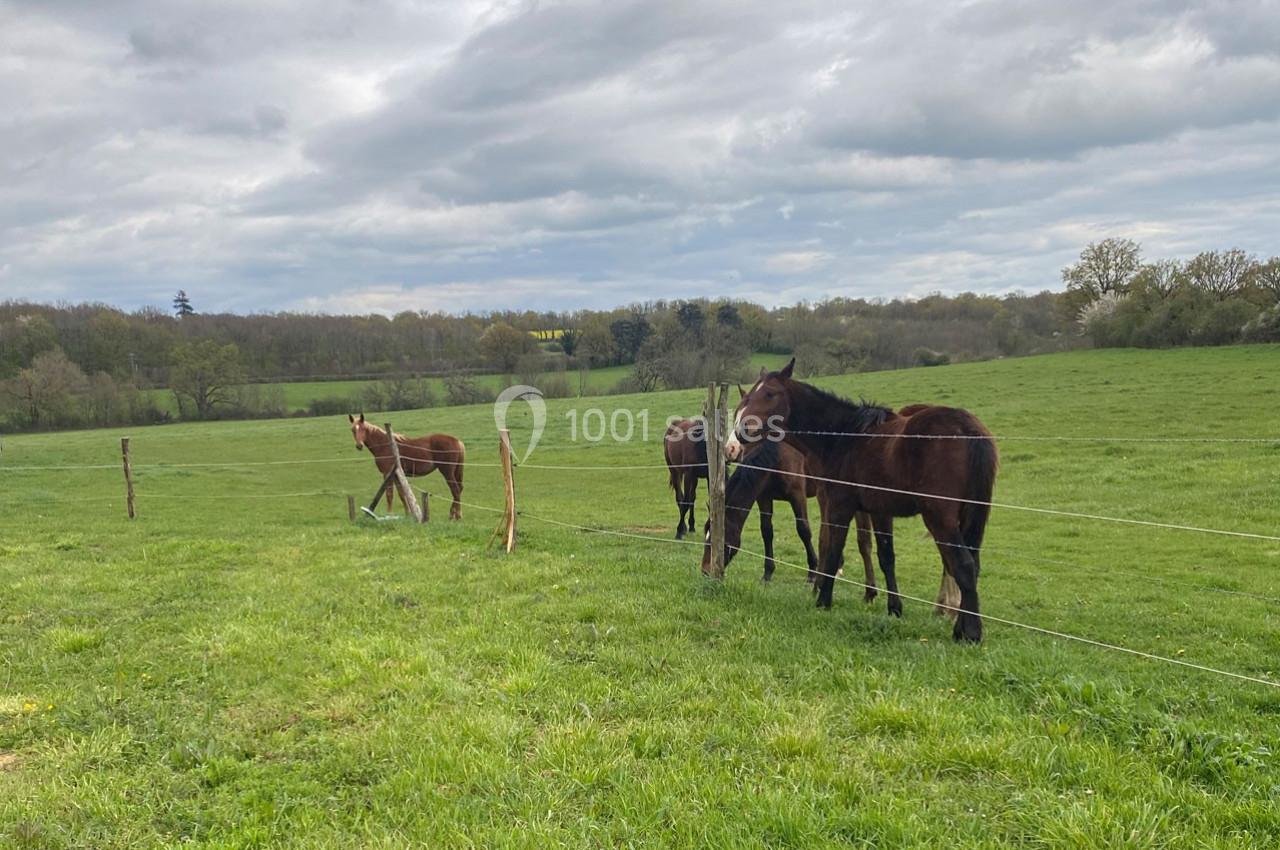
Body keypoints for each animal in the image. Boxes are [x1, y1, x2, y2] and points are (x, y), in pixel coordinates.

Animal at [700, 436, 877, 586]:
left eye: (723, 542)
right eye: (706, 539)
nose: (706, 571)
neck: (778, 458)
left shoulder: (797, 496)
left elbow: (803, 530)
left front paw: (812, 572)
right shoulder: (764, 497)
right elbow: (766, 531)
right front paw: (767, 573)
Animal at [725, 359, 997, 643]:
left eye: (770, 394)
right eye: (747, 397)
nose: (741, 432)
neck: (842, 437)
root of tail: (967, 429)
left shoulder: (837, 505)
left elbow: (832, 548)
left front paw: (823, 599)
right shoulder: (879, 510)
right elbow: (886, 556)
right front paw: (894, 608)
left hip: (939, 517)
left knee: (962, 564)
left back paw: (969, 630)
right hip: (968, 515)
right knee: (969, 563)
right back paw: (958, 623)